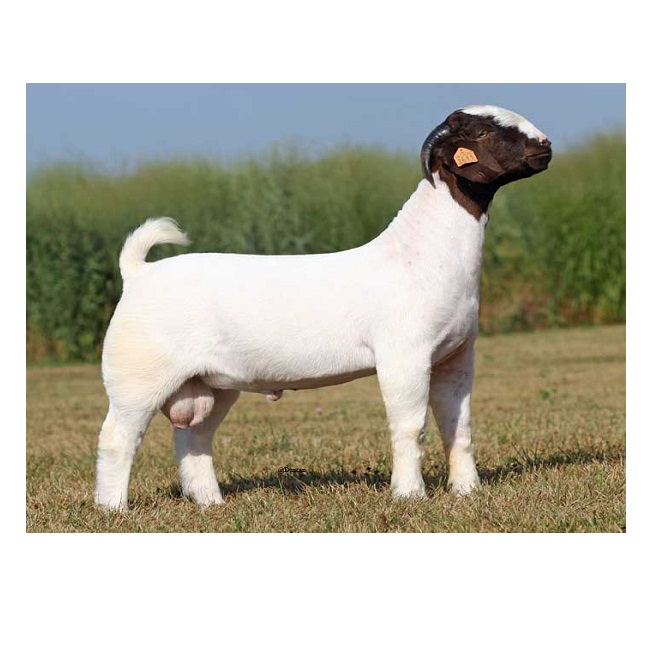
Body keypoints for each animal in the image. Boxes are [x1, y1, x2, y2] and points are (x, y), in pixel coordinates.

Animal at [94, 105, 552, 510]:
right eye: (483, 132)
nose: (545, 146)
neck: (421, 251)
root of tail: (138, 273)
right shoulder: (404, 358)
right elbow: (410, 428)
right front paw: (409, 495)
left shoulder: (456, 356)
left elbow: (458, 427)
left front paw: (467, 491)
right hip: (136, 378)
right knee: (117, 438)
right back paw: (113, 507)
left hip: (211, 382)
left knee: (194, 439)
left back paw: (210, 503)